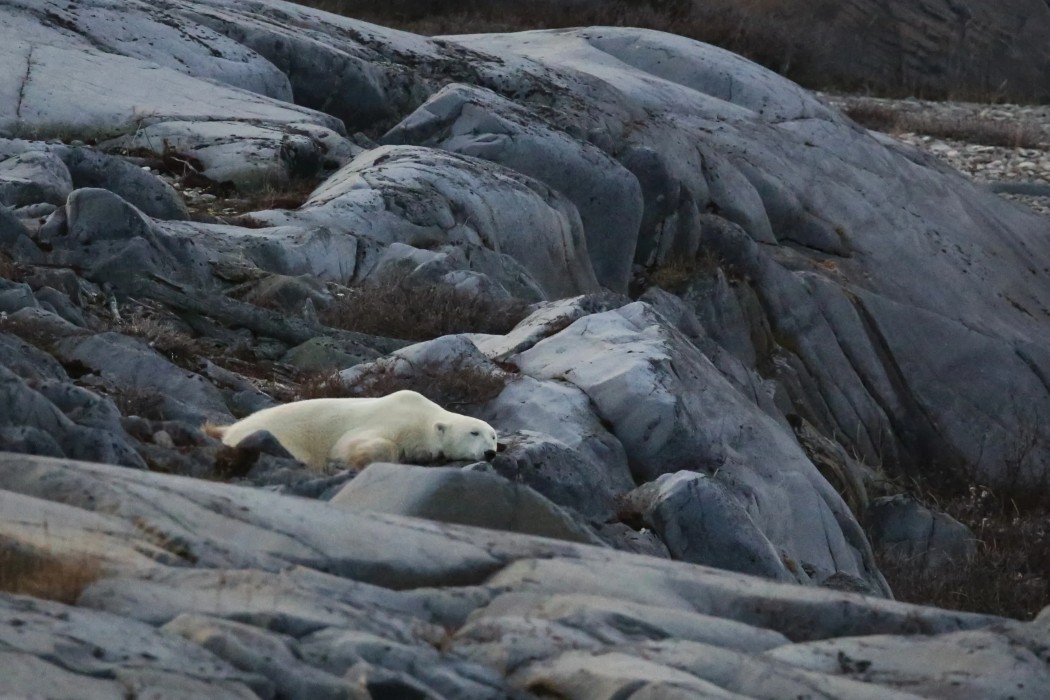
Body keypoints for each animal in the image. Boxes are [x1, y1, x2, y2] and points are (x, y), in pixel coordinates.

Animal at [204, 390, 499, 472]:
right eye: (474, 433)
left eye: (494, 436)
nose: (490, 453)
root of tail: (233, 429)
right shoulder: (395, 419)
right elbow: (353, 443)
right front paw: (359, 459)